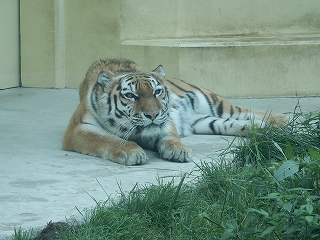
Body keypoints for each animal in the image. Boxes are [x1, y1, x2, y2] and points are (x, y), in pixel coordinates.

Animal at [62, 58, 288, 165]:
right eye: (131, 96)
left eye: (157, 92)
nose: (152, 115)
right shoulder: (78, 129)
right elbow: (108, 139)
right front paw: (132, 152)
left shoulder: (166, 119)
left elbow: (170, 136)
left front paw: (179, 150)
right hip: (203, 121)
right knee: (229, 122)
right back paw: (260, 128)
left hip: (214, 102)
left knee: (244, 110)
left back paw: (281, 121)